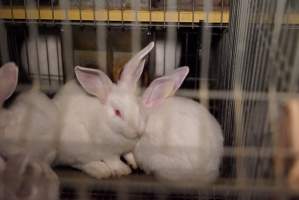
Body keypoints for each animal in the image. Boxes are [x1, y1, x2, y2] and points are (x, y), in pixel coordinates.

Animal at [53, 42, 155, 180]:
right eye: (117, 112)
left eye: (138, 106)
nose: (138, 131)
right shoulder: (106, 151)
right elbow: (113, 160)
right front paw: (122, 170)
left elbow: (128, 154)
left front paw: (134, 162)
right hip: (75, 145)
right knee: (79, 163)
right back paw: (101, 170)